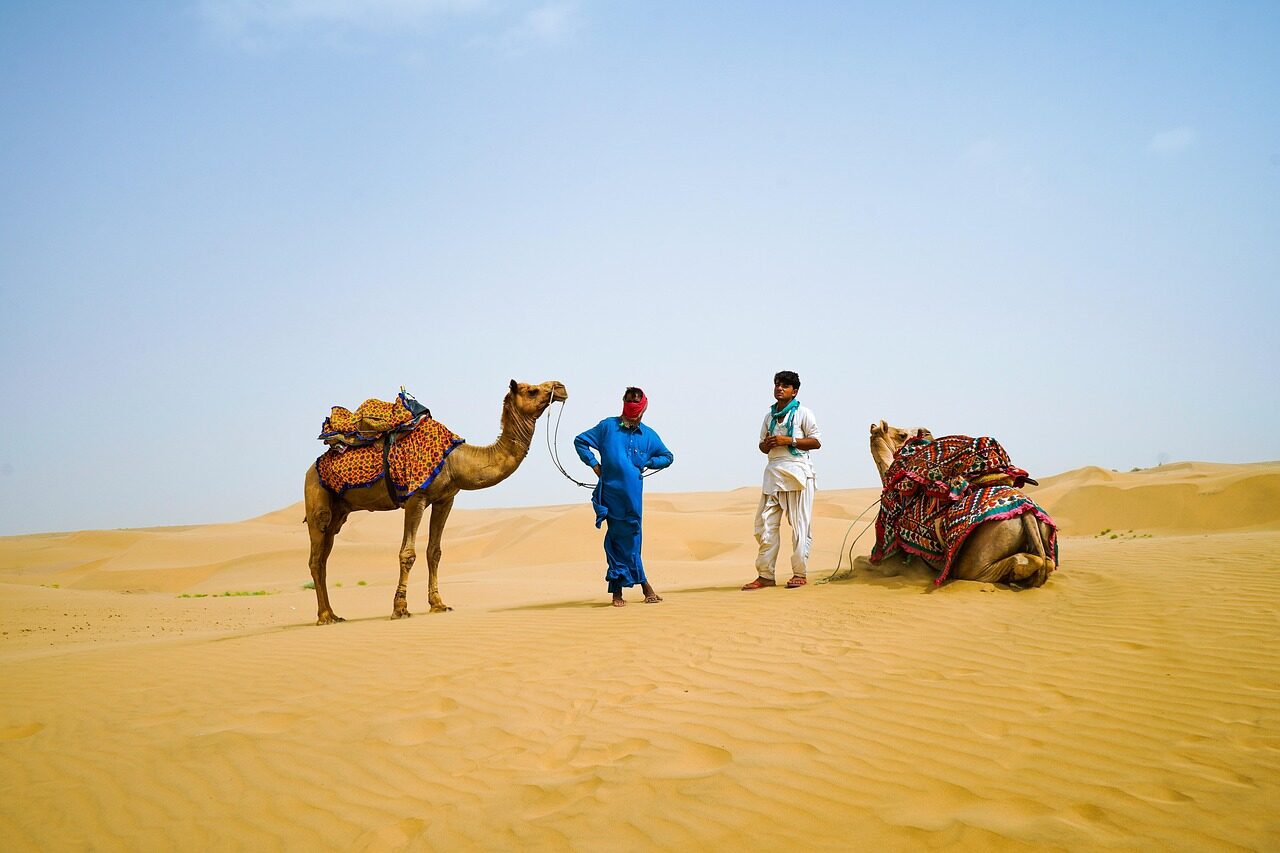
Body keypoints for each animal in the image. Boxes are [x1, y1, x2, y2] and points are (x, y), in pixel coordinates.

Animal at [303, 380, 567, 624]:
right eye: (532, 390)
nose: (560, 387)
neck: (456, 461)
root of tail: (310, 470)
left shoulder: (445, 499)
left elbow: (434, 552)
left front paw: (438, 604)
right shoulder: (415, 498)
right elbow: (407, 553)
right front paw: (400, 609)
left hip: (339, 513)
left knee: (324, 558)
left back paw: (333, 614)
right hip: (317, 500)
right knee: (316, 559)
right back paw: (325, 616)